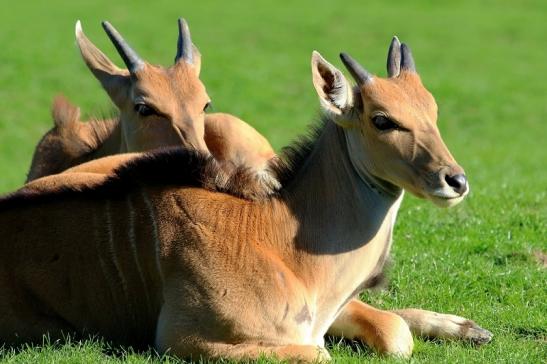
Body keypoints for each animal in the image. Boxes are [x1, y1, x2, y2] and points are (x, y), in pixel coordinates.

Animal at [0, 37, 492, 362]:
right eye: (382, 119)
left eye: (432, 110)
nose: (455, 180)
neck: (282, 241)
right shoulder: (185, 340)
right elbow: (323, 352)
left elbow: (391, 334)